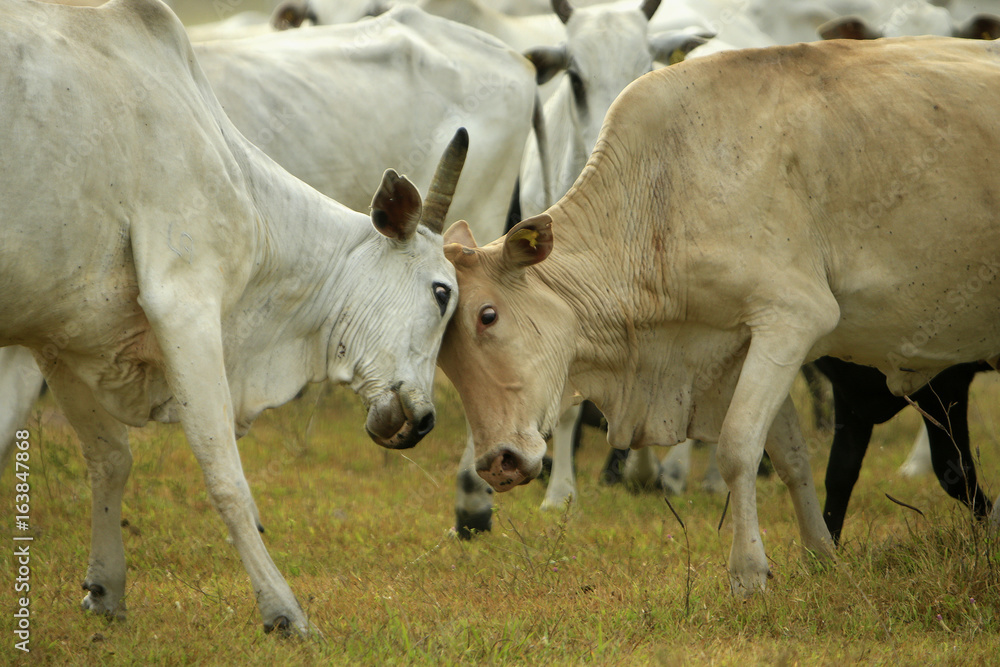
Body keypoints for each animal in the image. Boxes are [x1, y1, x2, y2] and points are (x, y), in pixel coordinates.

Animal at [1, 0, 468, 636]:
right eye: (442, 293)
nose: (423, 420)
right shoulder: (185, 301)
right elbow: (225, 476)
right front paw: (284, 611)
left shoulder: (60, 334)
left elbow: (109, 459)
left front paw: (105, 590)